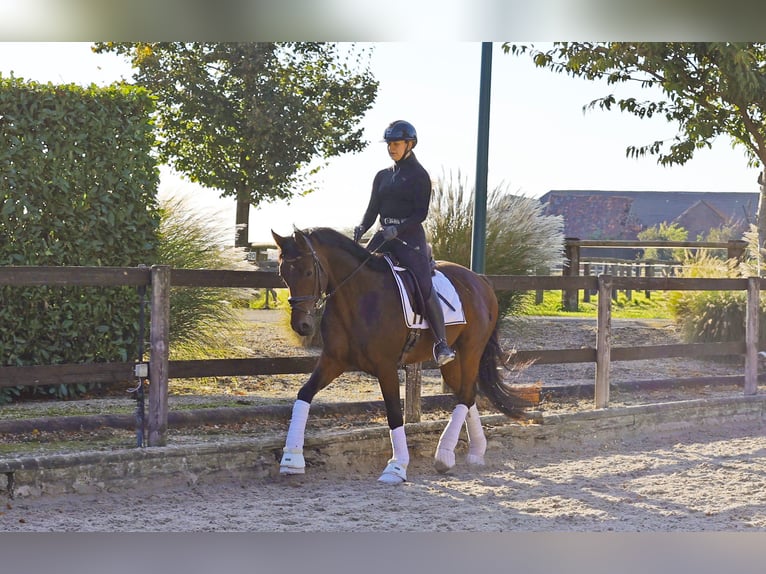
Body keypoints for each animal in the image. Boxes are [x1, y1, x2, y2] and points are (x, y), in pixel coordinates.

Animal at [272, 227, 536, 484]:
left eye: (308, 272)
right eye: (283, 275)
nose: (301, 326)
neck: (359, 296)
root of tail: (479, 279)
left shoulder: (386, 367)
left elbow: (394, 413)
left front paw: (396, 467)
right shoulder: (333, 360)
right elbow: (304, 394)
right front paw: (291, 460)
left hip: (472, 349)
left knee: (467, 393)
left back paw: (444, 455)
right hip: (453, 361)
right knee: (467, 393)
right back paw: (474, 453)